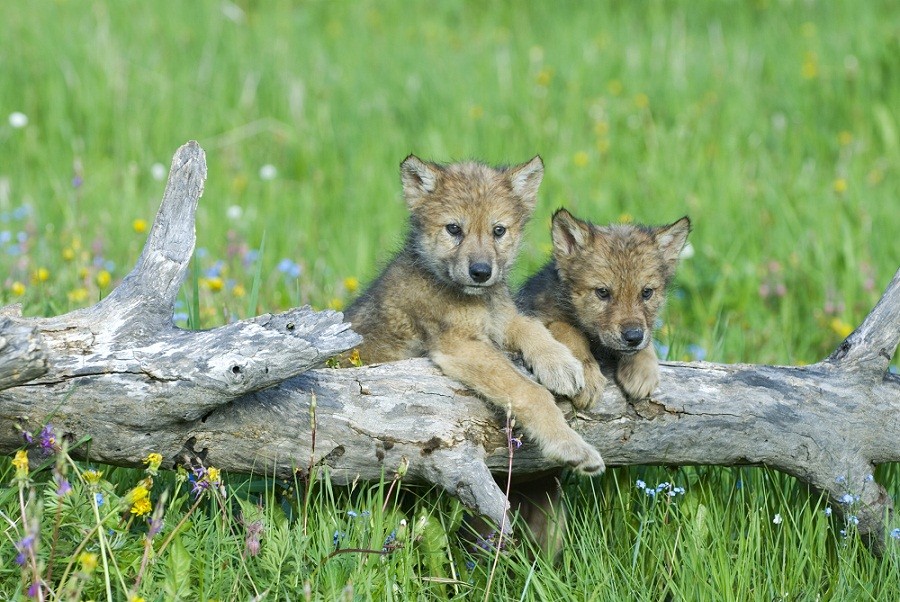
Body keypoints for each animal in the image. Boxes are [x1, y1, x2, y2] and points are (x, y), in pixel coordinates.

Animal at [344, 156, 604, 475]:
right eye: (454, 229)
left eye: (498, 230)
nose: (481, 272)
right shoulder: (460, 346)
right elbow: (528, 391)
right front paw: (571, 446)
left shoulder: (502, 319)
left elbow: (532, 327)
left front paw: (561, 364)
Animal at [518, 208, 691, 407]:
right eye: (602, 292)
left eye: (646, 292)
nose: (633, 337)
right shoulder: (537, 315)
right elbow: (567, 330)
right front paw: (587, 377)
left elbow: (647, 339)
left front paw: (642, 370)